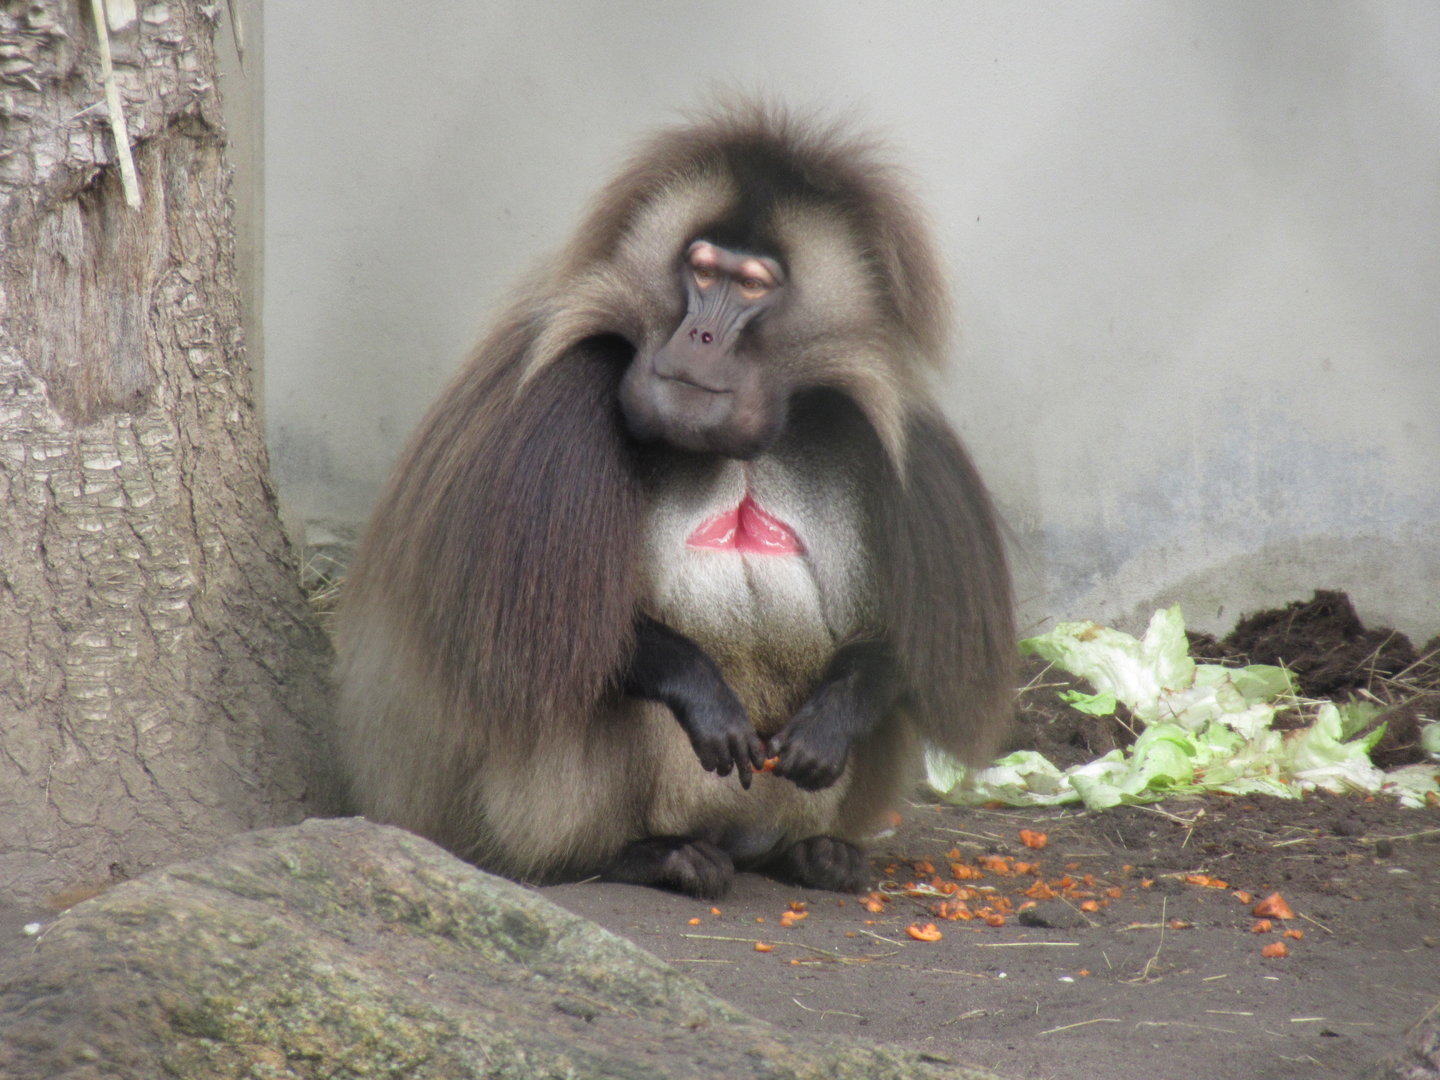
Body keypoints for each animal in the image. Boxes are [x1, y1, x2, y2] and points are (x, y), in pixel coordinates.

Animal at [332, 101, 1015, 900]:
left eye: (752, 285)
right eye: (701, 268)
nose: (701, 336)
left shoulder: (905, 446)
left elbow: (921, 664)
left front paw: (836, 716)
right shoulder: (548, 412)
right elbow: (525, 647)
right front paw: (704, 696)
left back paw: (817, 855)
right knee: (569, 683)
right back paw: (647, 856)